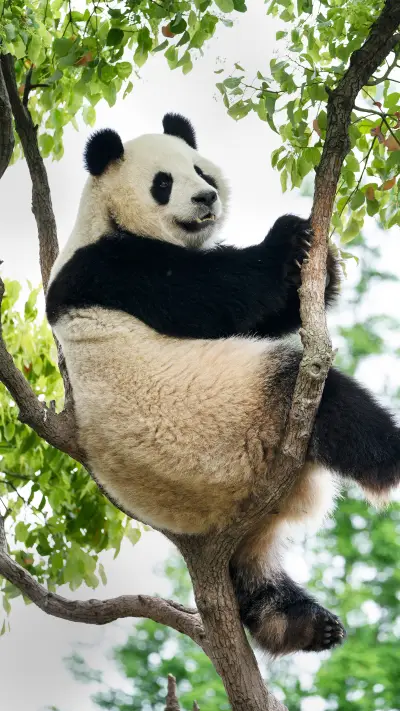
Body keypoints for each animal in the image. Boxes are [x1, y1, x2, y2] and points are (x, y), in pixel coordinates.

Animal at [46, 113, 400, 657]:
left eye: (201, 170)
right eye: (163, 183)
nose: (205, 198)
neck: (105, 216)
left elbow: (265, 313)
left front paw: (323, 265)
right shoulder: (117, 267)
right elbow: (222, 295)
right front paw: (289, 237)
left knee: (249, 572)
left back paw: (299, 623)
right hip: (229, 423)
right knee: (329, 401)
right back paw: (391, 457)